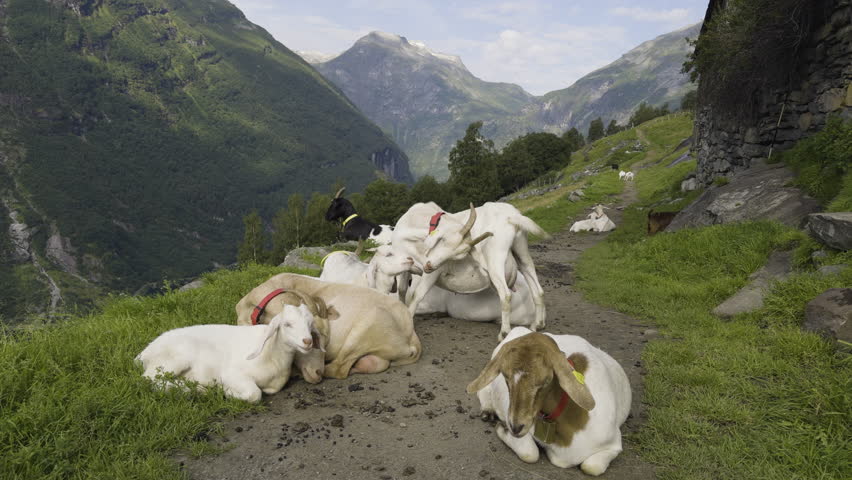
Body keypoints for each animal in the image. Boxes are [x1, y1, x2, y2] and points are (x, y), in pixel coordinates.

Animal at [136, 304, 316, 403]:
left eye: (309, 324)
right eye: (287, 324)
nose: (307, 341)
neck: (273, 355)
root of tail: (144, 353)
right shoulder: (232, 374)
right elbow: (255, 394)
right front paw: (227, 392)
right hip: (173, 359)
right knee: (149, 380)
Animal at [392, 201, 546, 340]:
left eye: (457, 256)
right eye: (442, 239)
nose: (428, 266)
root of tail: (512, 217)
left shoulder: (435, 271)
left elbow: (417, 295)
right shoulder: (406, 264)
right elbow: (402, 290)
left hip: (495, 259)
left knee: (506, 294)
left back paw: (504, 332)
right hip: (521, 251)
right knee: (537, 288)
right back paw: (537, 325)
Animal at [467, 327, 631, 476]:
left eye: (545, 381)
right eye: (506, 377)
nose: (515, 427)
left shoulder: (613, 445)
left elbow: (591, 467)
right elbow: (530, 453)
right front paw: (502, 428)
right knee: (484, 390)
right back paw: (488, 411)